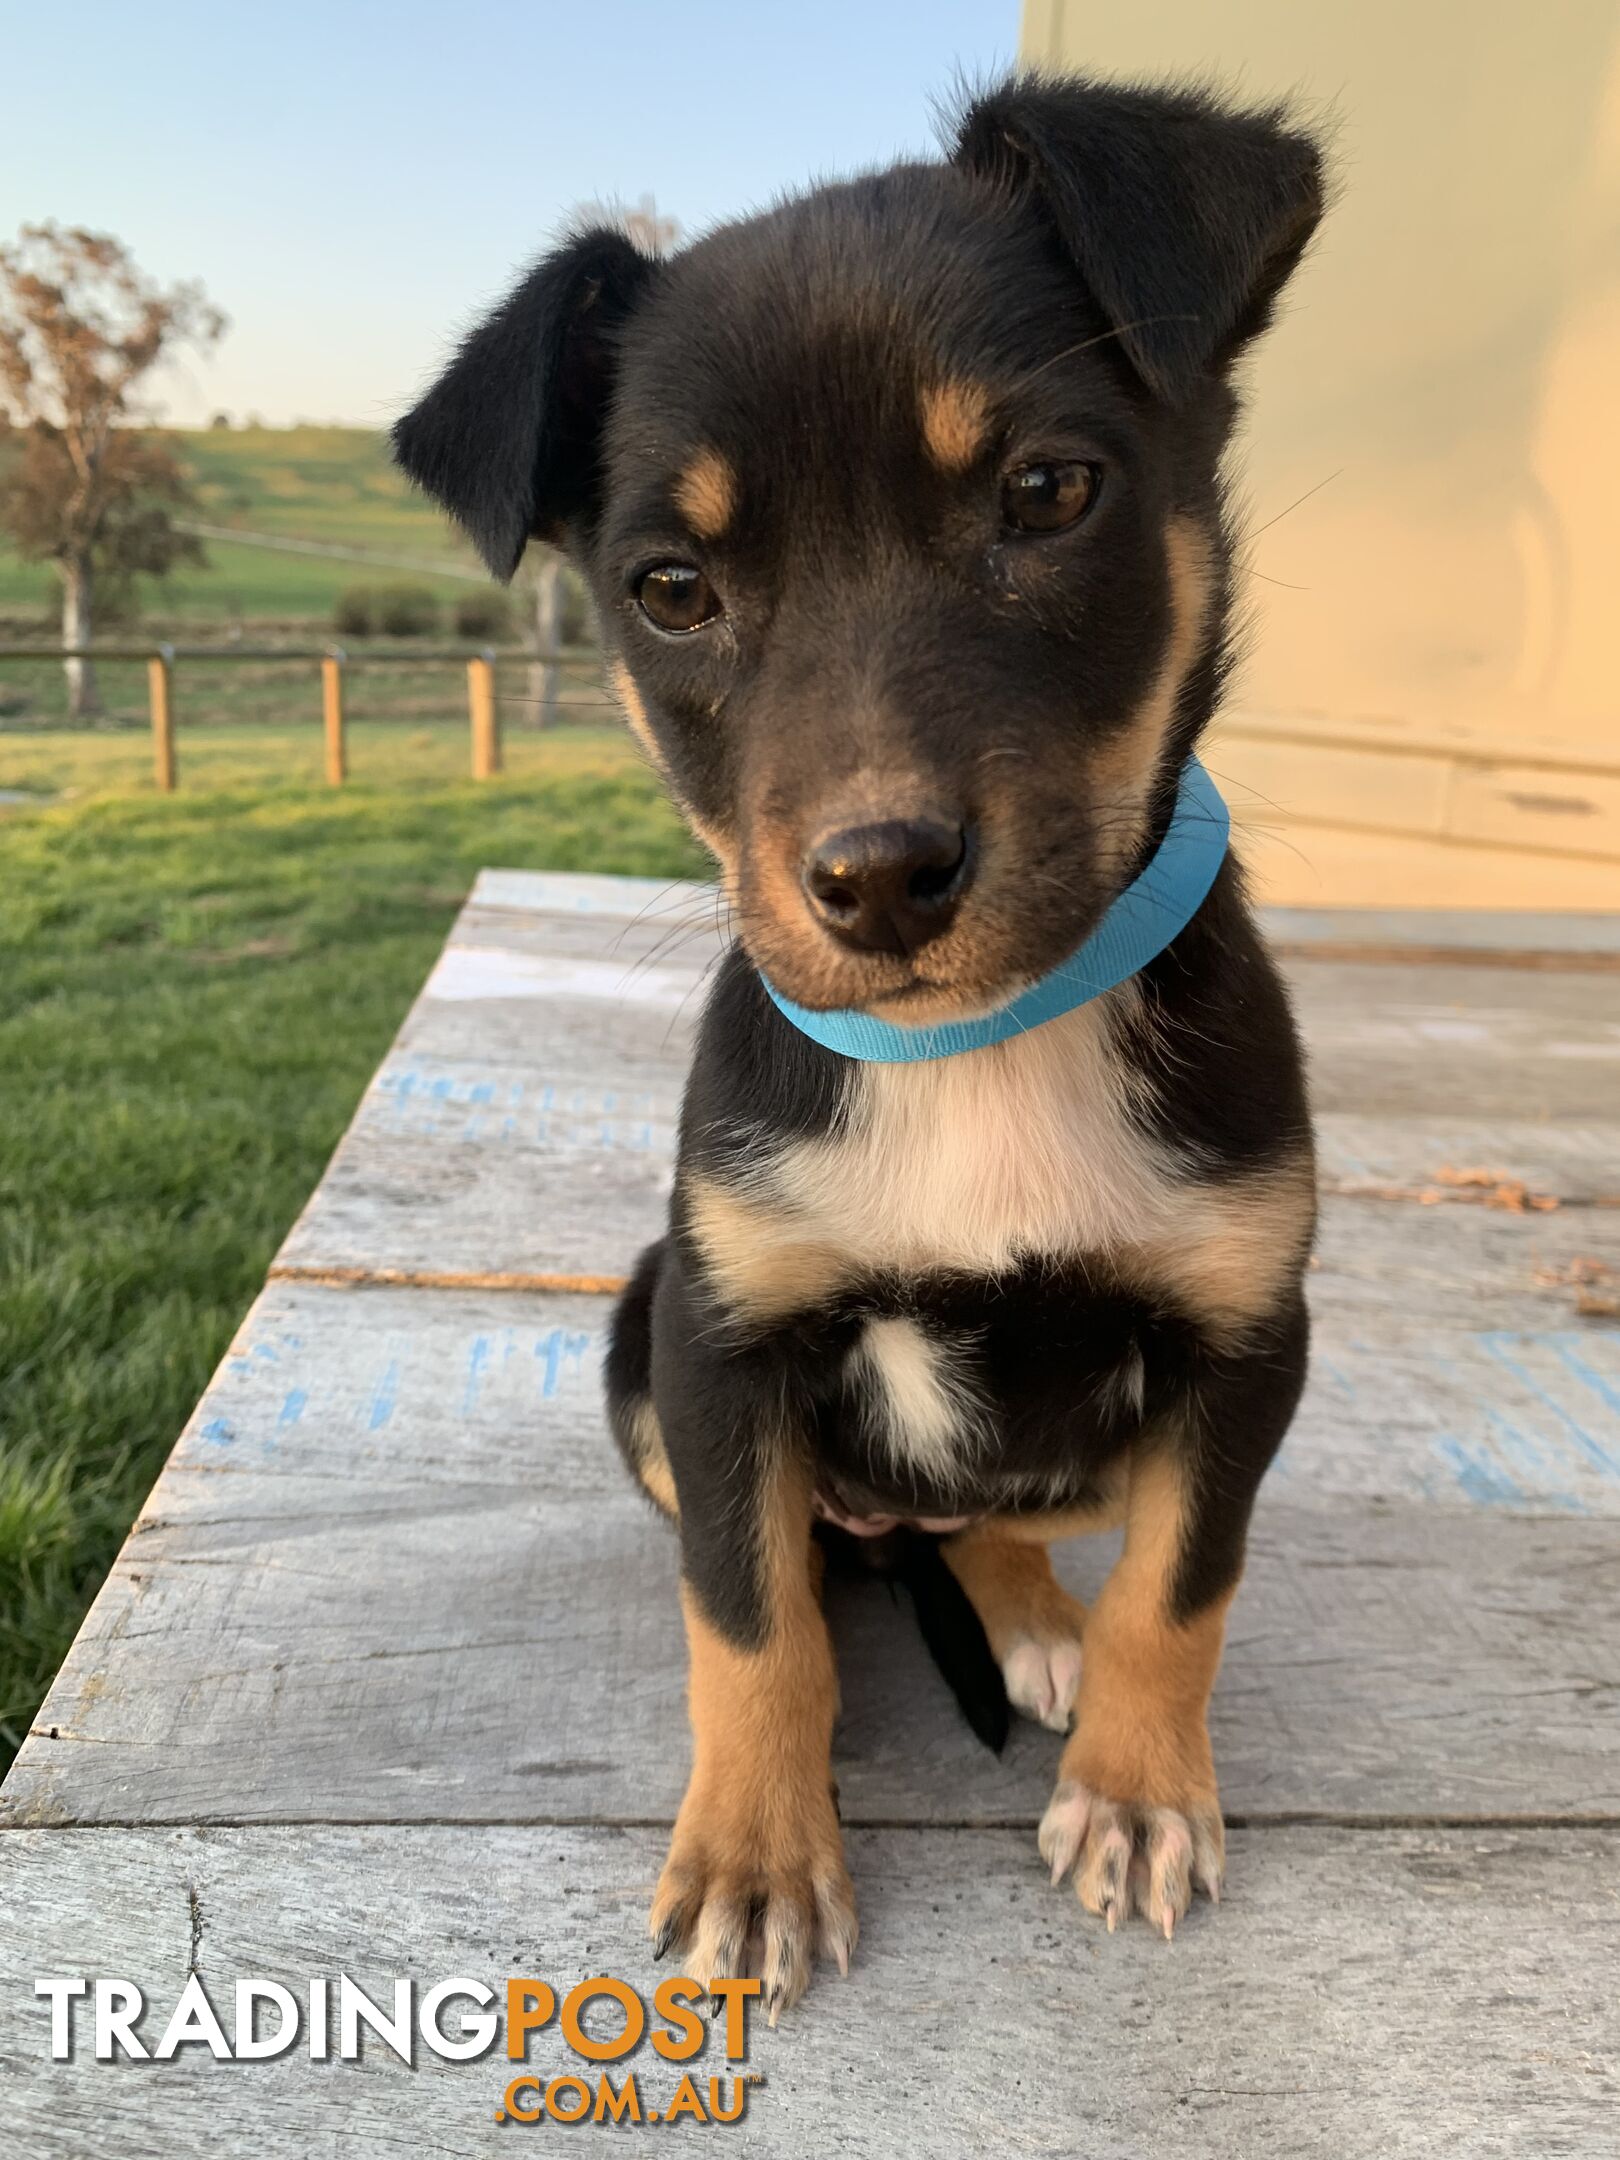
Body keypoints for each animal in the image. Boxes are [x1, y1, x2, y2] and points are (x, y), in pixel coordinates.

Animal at [399, 71, 1321, 2021]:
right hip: (632, 1329)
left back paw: (1034, 1619)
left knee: (997, 1519)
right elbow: (747, 1619)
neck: (980, 1044)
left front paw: (1140, 1794)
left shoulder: (1246, 1339)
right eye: (671, 588)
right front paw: (757, 1854)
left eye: (1047, 490)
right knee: (817, 1551)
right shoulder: (718, 1338)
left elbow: (1182, 1588)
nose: (878, 878)